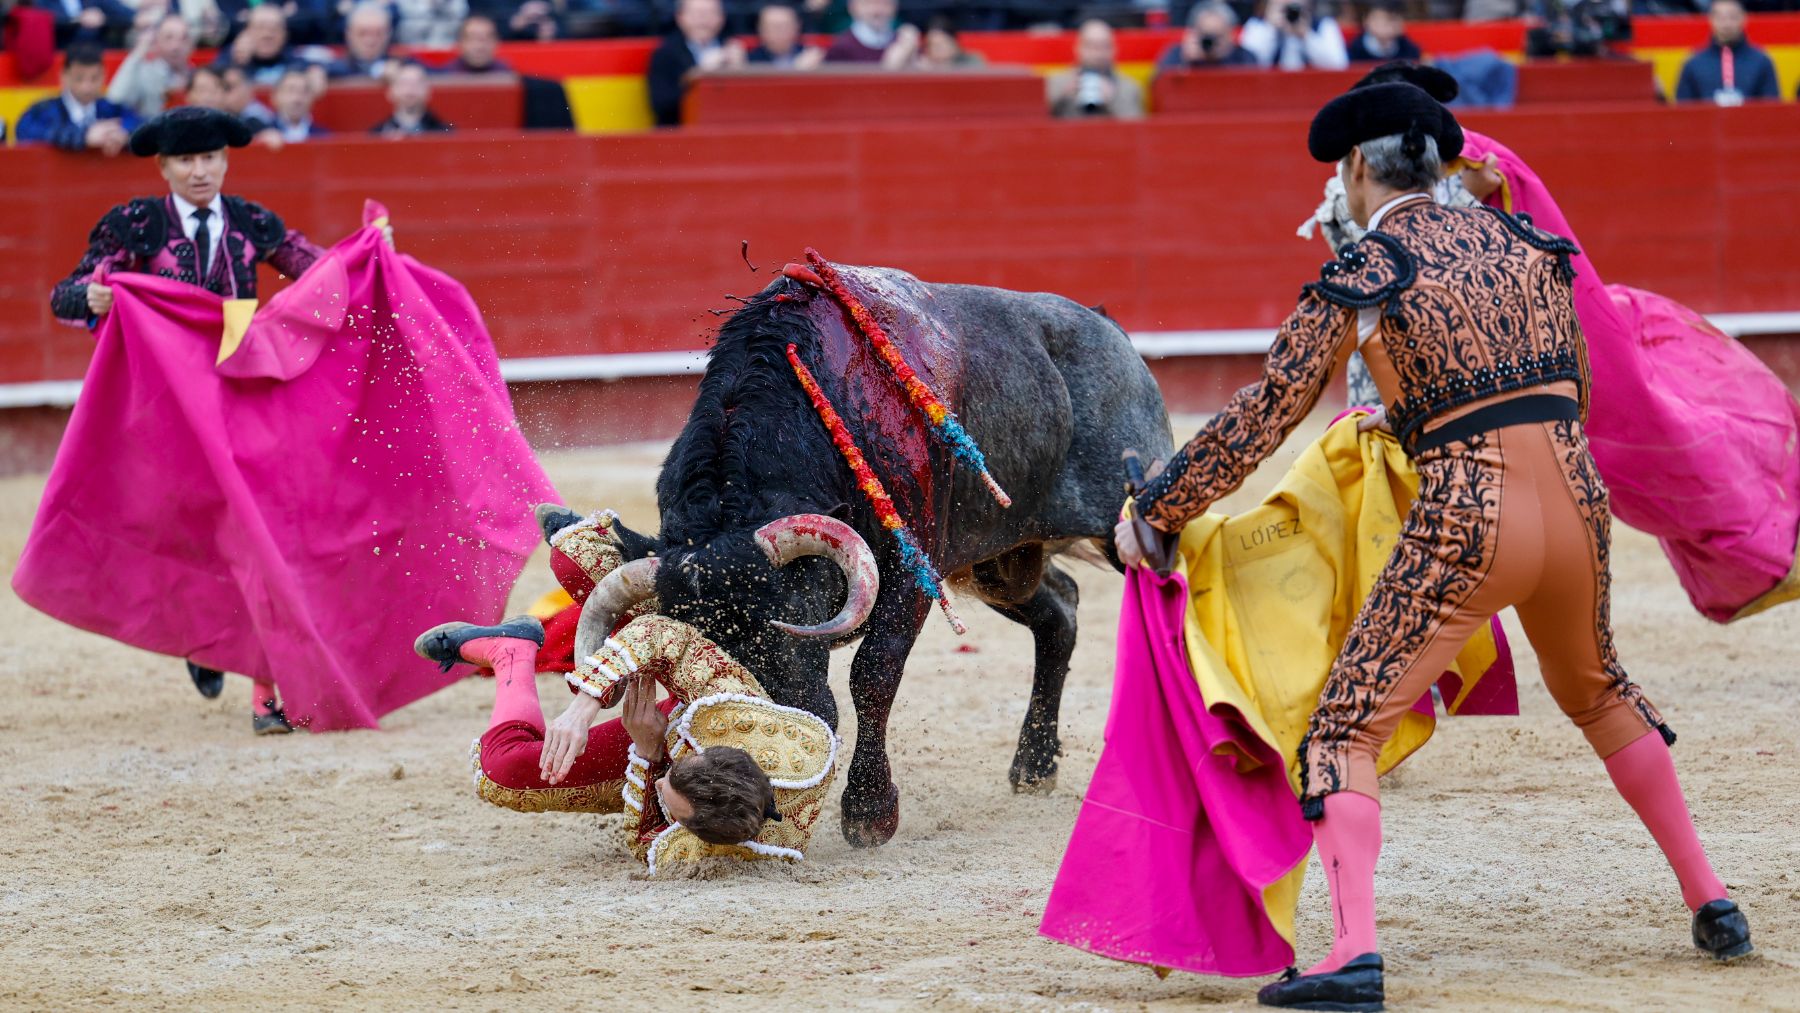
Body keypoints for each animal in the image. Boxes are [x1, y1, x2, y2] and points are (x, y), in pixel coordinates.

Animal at [572, 260, 1166, 849]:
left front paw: (870, 812)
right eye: (689, 650)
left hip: (1123, 516)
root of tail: (1105, 327)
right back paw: (1035, 766)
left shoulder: (910, 570)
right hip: (998, 564)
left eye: (792, 615)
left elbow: (874, 673)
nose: (769, 740)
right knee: (1060, 610)